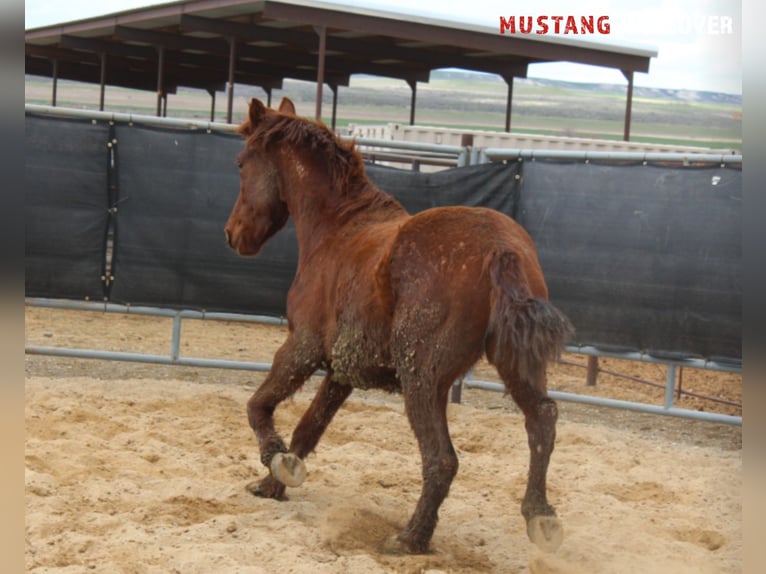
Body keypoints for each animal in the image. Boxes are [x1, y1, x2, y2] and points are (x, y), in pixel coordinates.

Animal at [225, 99, 572, 560]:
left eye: (241, 163)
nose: (233, 234)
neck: (338, 229)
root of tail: (500, 248)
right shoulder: (341, 370)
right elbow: (309, 426)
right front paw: (275, 483)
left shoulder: (302, 347)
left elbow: (258, 405)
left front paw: (276, 461)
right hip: (516, 366)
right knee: (542, 421)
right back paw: (541, 516)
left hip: (423, 379)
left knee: (442, 458)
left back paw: (411, 537)